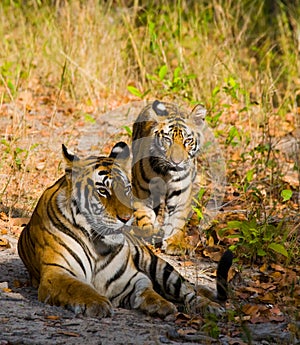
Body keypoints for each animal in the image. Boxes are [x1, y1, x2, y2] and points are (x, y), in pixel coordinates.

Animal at [18, 140, 232, 318]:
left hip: (159, 266)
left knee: (189, 291)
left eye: (127, 189)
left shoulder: (132, 278)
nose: (127, 219)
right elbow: (79, 287)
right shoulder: (57, 272)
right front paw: (97, 303)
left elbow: (147, 290)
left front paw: (161, 305)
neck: (97, 246)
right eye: (103, 191)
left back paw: (211, 307)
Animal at [132, 99, 207, 253]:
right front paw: (150, 230)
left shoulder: (180, 194)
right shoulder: (141, 191)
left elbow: (177, 219)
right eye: (167, 139)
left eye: (188, 140)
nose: (176, 161)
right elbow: (143, 217)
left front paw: (175, 243)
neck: (166, 173)